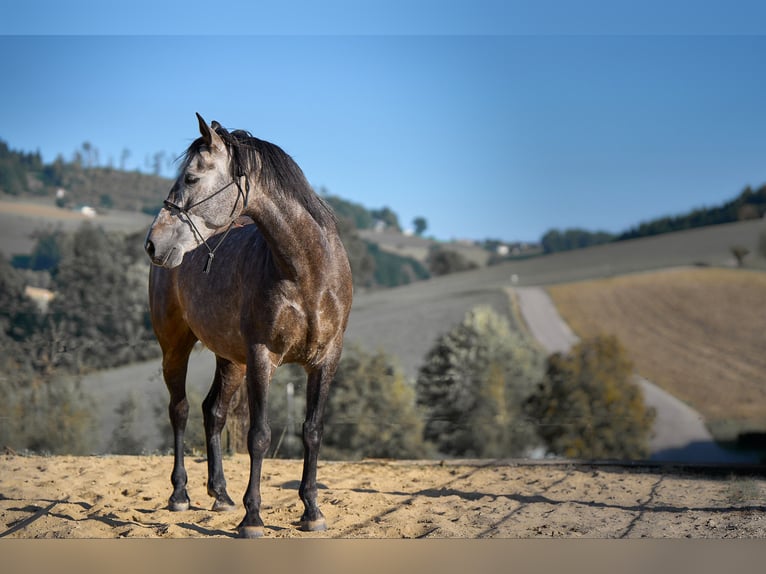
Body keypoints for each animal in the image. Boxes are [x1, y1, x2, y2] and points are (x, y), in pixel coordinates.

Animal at [144, 113, 354, 540]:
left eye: (191, 177)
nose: (153, 244)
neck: (308, 272)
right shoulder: (262, 358)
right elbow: (259, 436)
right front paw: (253, 517)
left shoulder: (326, 360)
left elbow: (312, 430)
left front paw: (312, 511)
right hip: (175, 347)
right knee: (180, 410)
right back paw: (180, 495)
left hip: (231, 360)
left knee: (213, 412)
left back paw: (221, 495)